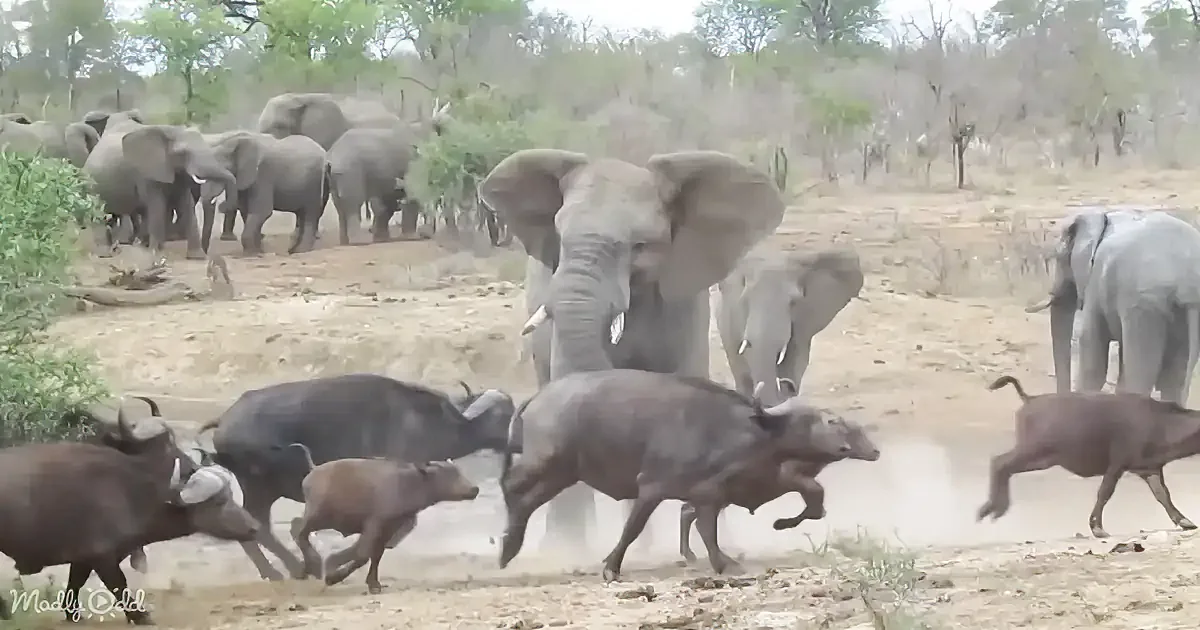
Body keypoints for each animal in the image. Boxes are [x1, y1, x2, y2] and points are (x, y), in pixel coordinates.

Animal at [83, 110, 236, 259]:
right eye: (182, 153)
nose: (223, 206)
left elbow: (186, 204)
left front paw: (197, 257)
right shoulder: (147, 173)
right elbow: (157, 205)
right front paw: (155, 253)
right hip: (93, 185)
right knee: (100, 215)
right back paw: (106, 251)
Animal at [200, 131, 329, 256]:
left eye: (225, 170)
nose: (221, 206)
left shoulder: (263, 175)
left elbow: (262, 211)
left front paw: (250, 253)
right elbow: (246, 211)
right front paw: (258, 251)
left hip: (314, 182)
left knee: (309, 213)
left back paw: (300, 251)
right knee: (301, 214)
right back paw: (292, 250)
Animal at [1027, 208, 1200, 404]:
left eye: (1059, 258)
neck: (1100, 216)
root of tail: (1189, 282)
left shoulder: (1095, 281)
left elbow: (1091, 349)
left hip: (1145, 305)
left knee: (1141, 375)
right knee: (1175, 379)